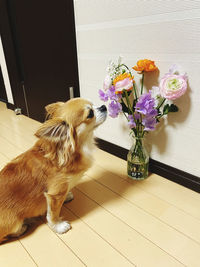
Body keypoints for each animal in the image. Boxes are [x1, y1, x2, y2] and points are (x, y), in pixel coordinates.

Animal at [0, 98, 107, 243]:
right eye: (90, 113)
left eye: (94, 104)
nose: (104, 106)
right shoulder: (54, 195)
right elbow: (53, 214)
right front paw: (59, 226)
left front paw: (67, 196)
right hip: (14, 223)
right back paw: (22, 228)